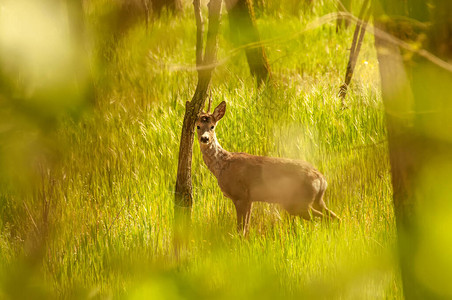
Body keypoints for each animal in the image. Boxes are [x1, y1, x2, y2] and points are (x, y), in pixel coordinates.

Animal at [196, 101, 340, 234]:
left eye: (212, 126)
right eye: (198, 126)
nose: (205, 138)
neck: (222, 165)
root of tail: (322, 179)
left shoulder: (240, 195)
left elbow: (241, 230)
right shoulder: (250, 199)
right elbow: (246, 229)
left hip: (298, 202)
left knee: (324, 218)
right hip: (317, 200)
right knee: (335, 217)